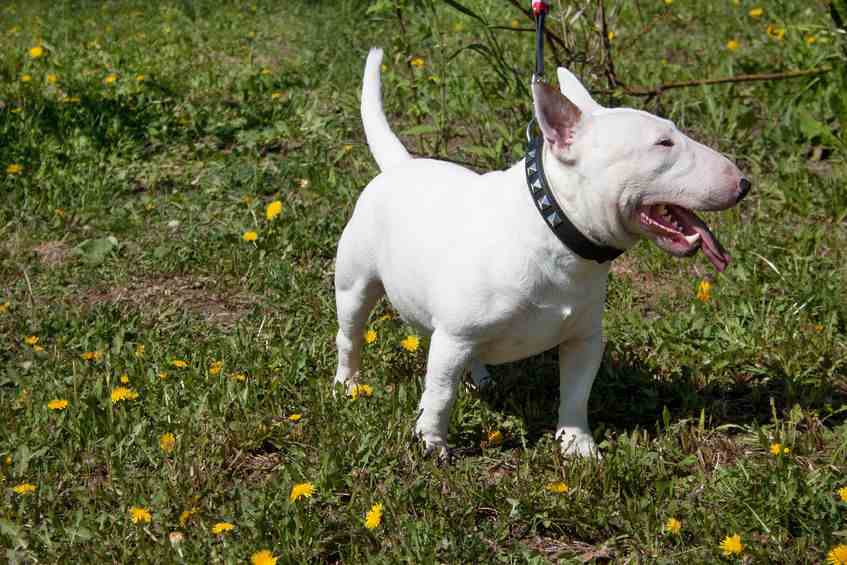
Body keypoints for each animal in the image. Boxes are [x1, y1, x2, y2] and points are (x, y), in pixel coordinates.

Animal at [334, 48, 752, 458]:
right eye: (663, 143)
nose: (745, 184)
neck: (555, 234)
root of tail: (400, 166)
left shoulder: (584, 339)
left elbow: (577, 393)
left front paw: (576, 444)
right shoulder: (454, 337)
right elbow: (439, 395)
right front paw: (432, 444)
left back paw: (481, 380)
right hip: (355, 286)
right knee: (350, 336)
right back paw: (348, 385)